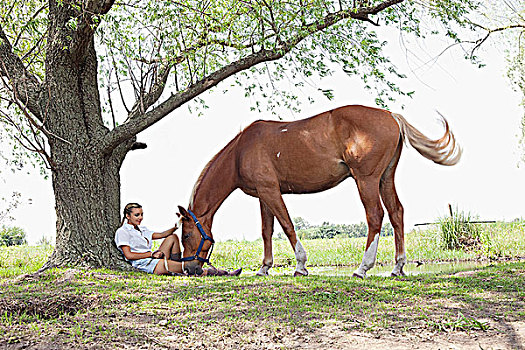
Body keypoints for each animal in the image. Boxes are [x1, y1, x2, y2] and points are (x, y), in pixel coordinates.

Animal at [177, 104, 458, 276]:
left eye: (187, 235)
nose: (190, 269)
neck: (241, 150)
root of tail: (391, 116)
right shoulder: (263, 196)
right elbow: (267, 231)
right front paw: (264, 267)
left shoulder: (271, 191)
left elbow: (287, 225)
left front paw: (301, 265)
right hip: (385, 179)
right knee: (396, 213)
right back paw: (398, 267)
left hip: (366, 180)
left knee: (375, 216)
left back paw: (363, 268)